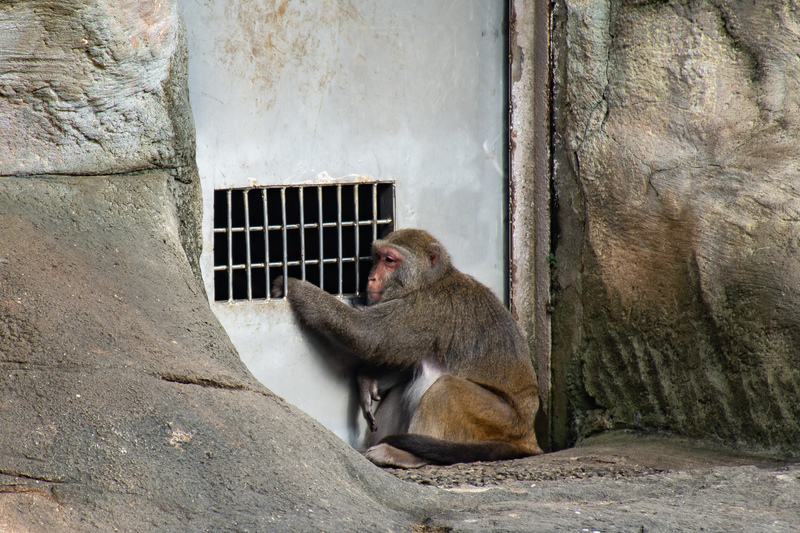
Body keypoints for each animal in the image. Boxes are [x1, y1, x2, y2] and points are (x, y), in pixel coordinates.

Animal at [276, 229, 544, 466]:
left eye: (390, 260)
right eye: (377, 257)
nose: (371, 278)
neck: (430, 282)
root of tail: (529, 434)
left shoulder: (426, 309)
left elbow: (369, 335)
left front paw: (296, 288)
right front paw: (367, 378)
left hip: (499, 420)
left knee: (447, 389)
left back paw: (406, 455)